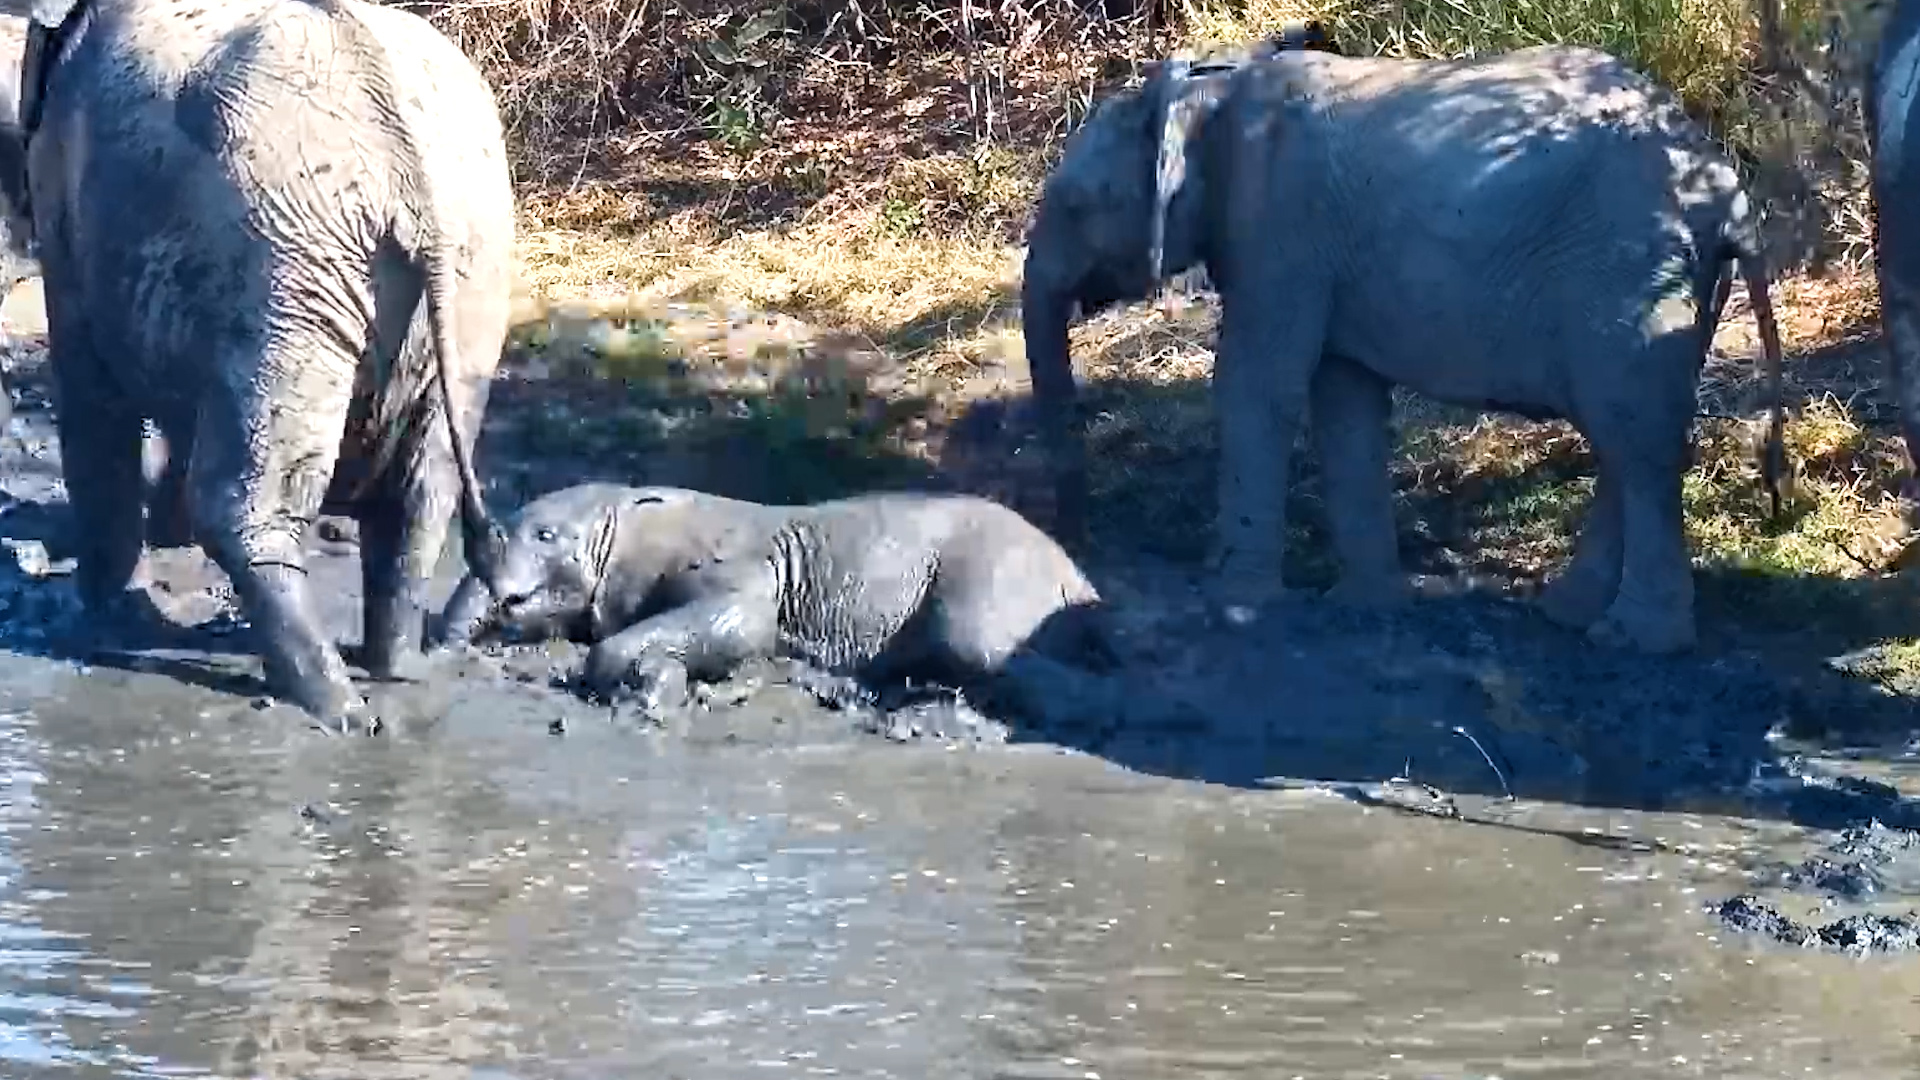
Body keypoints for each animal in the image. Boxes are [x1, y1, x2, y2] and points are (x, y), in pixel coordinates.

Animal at [1, 0, 515, 730]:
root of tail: (409, 163)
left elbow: (94, 395)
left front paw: (98, 617)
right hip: (469, 270)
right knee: (420, 496)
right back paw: (397, 669)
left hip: (283, 264)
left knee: (245, 501)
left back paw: (336, 706)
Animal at [1019, 41, 1786, 655]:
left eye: (1077, 207)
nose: (1079, 538)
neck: (1213, 88)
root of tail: (1726, 188)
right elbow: (1344, 400)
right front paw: (1363, 604)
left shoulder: (1279, 225)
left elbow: (1257, 387)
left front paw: (1233, 601)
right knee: (1625, 440)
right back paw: (1568, 615)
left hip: (1629, 272)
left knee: (1636, 440)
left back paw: (1632, 640)